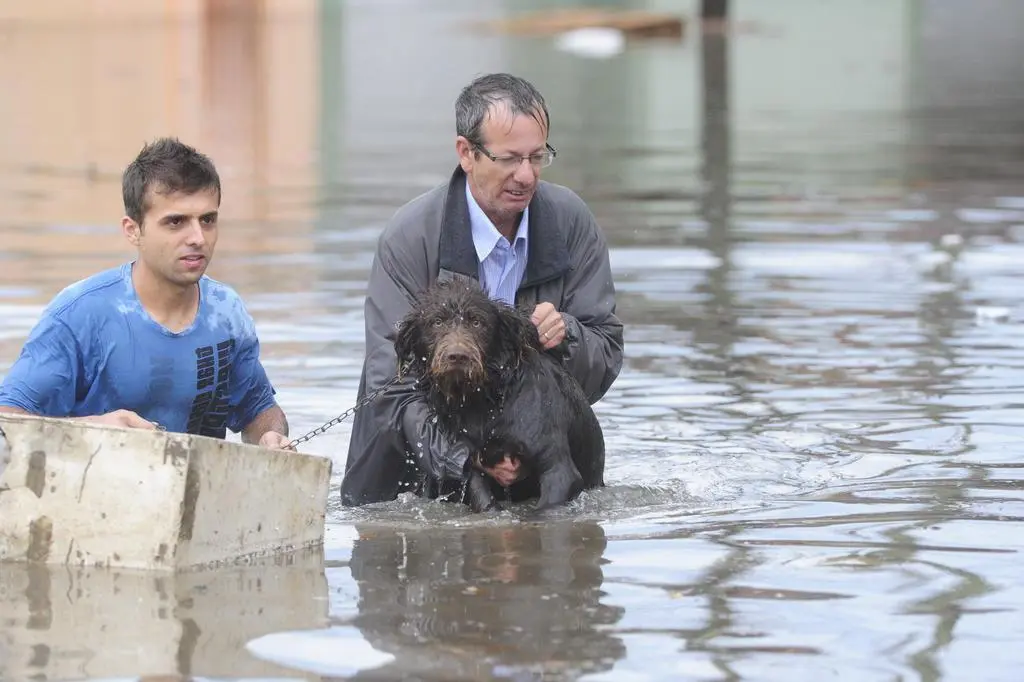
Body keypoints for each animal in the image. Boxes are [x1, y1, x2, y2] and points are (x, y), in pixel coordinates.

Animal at [393, 278, 602, 509]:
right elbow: (484, 500)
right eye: (437, 322)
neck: (488, 401)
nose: (457, 356)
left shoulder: (558, 470)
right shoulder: (472, 461)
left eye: (477, 322)